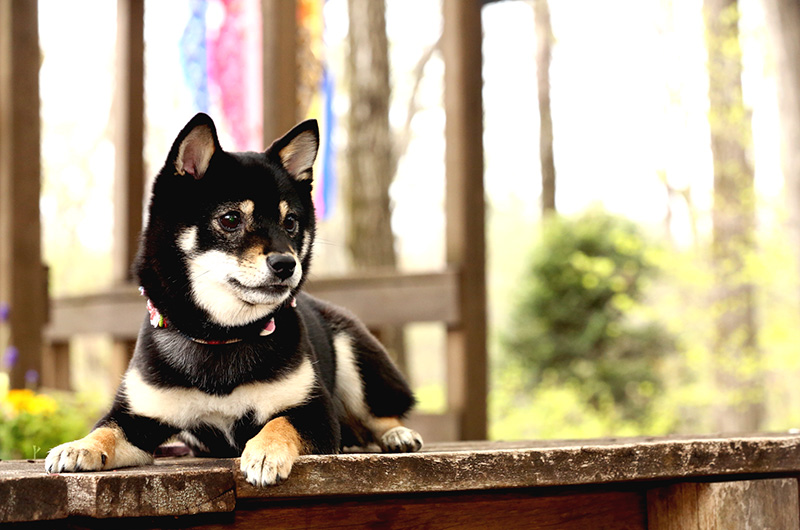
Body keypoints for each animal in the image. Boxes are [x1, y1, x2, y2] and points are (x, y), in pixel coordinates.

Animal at [44, 113, 422, 484]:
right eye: (230, 219)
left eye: (291, 222)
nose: (287, 264)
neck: (222, 336)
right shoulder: (139, 417)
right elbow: (107, 430)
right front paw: (80, 446)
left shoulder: (314, 413)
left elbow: (278, 422)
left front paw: (266, 451)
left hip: (355, 357)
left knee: (379, 415)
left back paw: (397, 435)